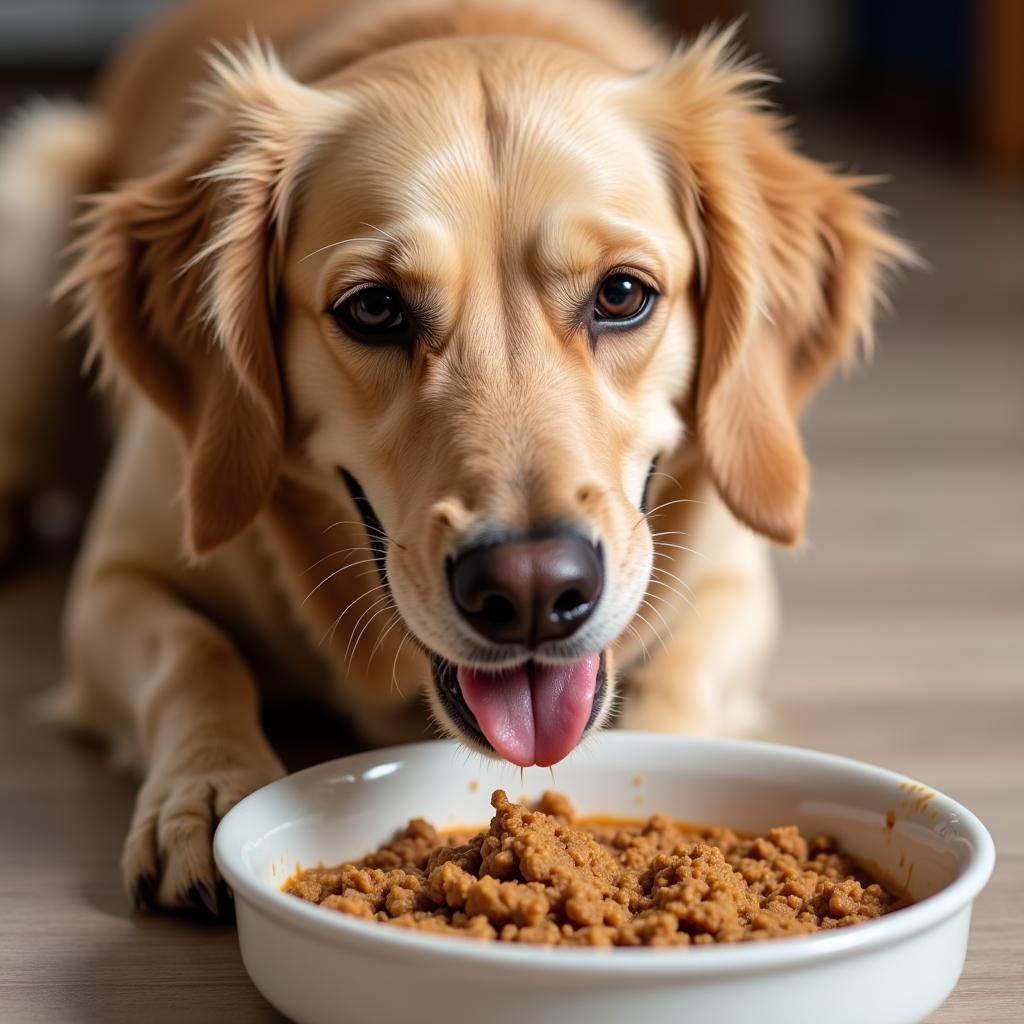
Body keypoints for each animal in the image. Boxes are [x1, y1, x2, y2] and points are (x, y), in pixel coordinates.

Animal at [0, 0, 913, 913]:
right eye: (373, 309)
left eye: (622, 294)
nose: (535, 592)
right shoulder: (117, 578)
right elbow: (194, 653)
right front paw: (207, 791)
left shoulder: (733, 582)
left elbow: (673, 679)